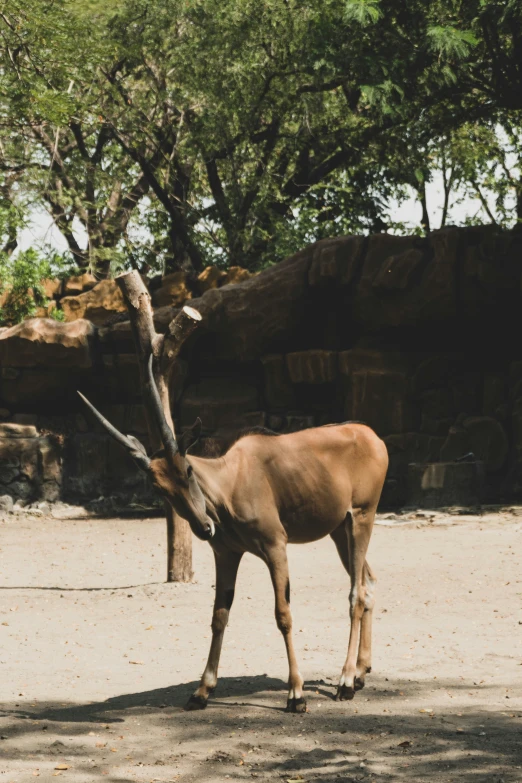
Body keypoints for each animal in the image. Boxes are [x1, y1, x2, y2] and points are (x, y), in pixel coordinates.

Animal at [77, 358, 386, 712]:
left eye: (187, 469)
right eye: (158, 487)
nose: (204, 528)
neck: (233, 478)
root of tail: (371, 436)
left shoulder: (275, 547)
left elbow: (283, 614)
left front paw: (296, 694)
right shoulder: (226, 554)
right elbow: (219, 616)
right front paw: (201, 690)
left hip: (362, 518)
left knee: (356, 593)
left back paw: (346, 681)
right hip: (339, 532)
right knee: (368, 583)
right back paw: (360, 673)